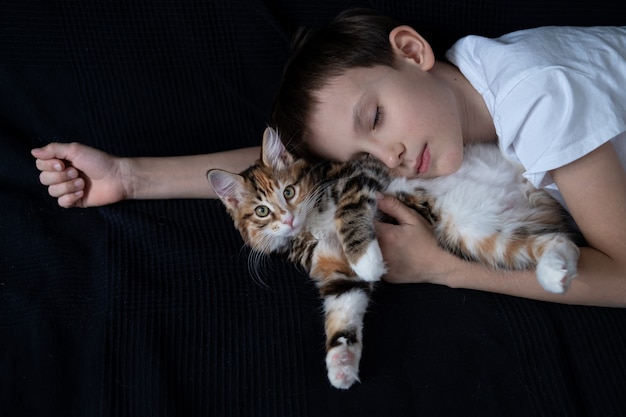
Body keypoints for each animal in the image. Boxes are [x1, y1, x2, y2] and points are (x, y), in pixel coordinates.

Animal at [207, 127, 576, 390]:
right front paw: (341, 362)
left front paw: (368, 258)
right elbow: (343, 307)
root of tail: (528, 193)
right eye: (262, 211)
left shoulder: (362, 172)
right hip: (480, 236)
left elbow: (349, 212)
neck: (311, 225)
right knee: (558, 242)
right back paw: (557, 273)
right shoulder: (332, 267)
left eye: (289, 191)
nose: (287, 219)